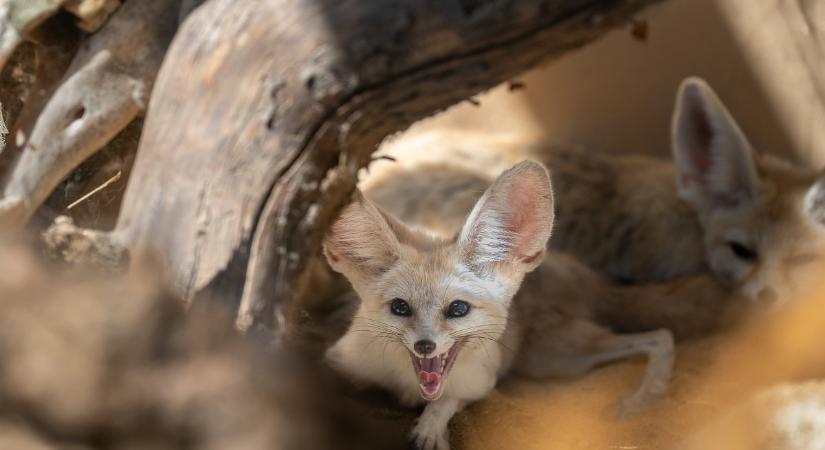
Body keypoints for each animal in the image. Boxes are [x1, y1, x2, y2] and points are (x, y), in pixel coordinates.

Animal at [326, 162, 724, 450]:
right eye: (400, 308)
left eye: (457, 309)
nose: (425, 345)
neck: (408, 385)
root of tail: (571, 263)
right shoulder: (340, 362)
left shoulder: (481, 384)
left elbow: (447, 401)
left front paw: (431, 427)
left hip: (557, 355)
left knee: (660, 335)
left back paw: (642, 398)